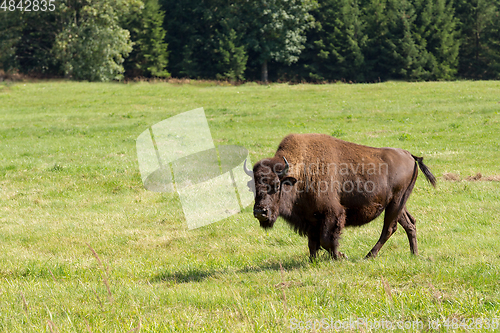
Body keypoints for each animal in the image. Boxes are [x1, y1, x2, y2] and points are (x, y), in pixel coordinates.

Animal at [246, 133, 434, 260]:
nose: (260, 212)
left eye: (276, 185)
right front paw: (313, 260)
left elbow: (327, 239)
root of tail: (410, 155)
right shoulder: (311, 219)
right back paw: (414, 254)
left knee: (389, 228)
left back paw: (369, 255)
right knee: (409, 223)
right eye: (253, 187)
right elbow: (313, 242)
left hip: (396, 203)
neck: (299, 173)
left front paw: (340, 256)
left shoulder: (332, 213)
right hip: (397, 204)